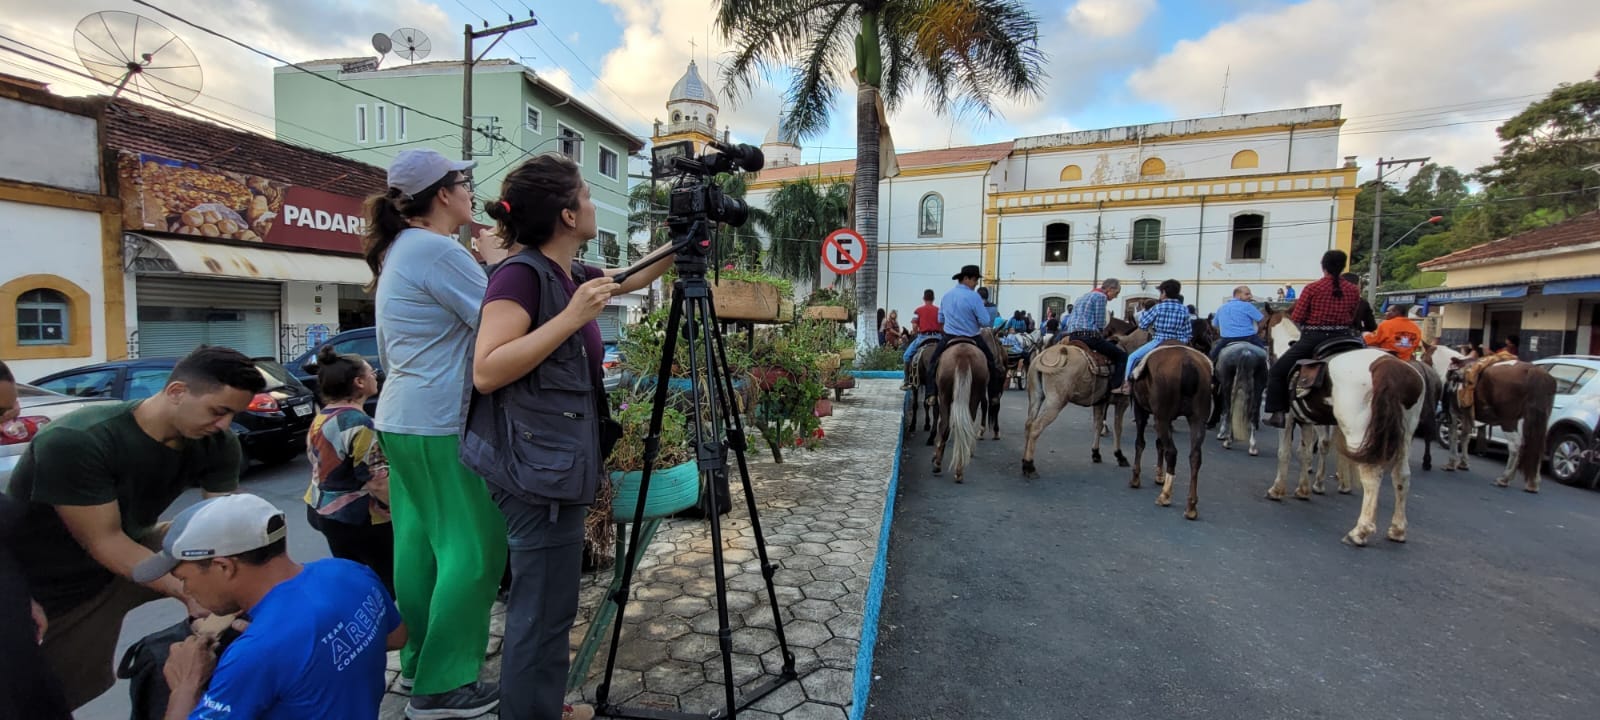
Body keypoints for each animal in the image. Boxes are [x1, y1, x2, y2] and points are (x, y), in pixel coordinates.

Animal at [928, 342, 985, 483]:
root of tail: (963, 356)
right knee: (966, 428)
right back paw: (959, 470)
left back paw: (937, 464)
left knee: (944, 426)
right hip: (975, 394)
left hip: (944, 395)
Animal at [1126, 340, 1209, 521]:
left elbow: (1140, 443)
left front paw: (1136, 477)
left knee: (1172, 452)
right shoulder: (1169, 419)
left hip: (1161, 417)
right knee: (1195, 456)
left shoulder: (1141, 410)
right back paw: (1191, 506)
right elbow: (1159, 444)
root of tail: (1188, 363)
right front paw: (1159, 475)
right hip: (1198, 420)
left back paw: (1165, 495)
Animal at [1260, 315, 1427, 547]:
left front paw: (1277, 490)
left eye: (1262, 325)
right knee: (1402, 475)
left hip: (1358, 430)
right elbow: (1305, 453)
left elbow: (1284, 453)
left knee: (1372, 476)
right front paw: (1303, 490)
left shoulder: (1288, 417)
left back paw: (1360, 531)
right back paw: (1397, 530)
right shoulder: (1307, 420)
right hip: (1405, 435)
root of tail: (1387, 365)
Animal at [1440, 353, 1548, 492]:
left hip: (1509, 421)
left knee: (1515, 446)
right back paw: (1533, 483)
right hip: (1534, 422)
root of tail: (1534, 371)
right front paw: (1463, 463)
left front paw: (1451, 463)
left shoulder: (1453, 413)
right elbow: (1465, 437)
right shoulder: (1466, 415)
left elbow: (1453, 436)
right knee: (1537, 447)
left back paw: (1504, 479)